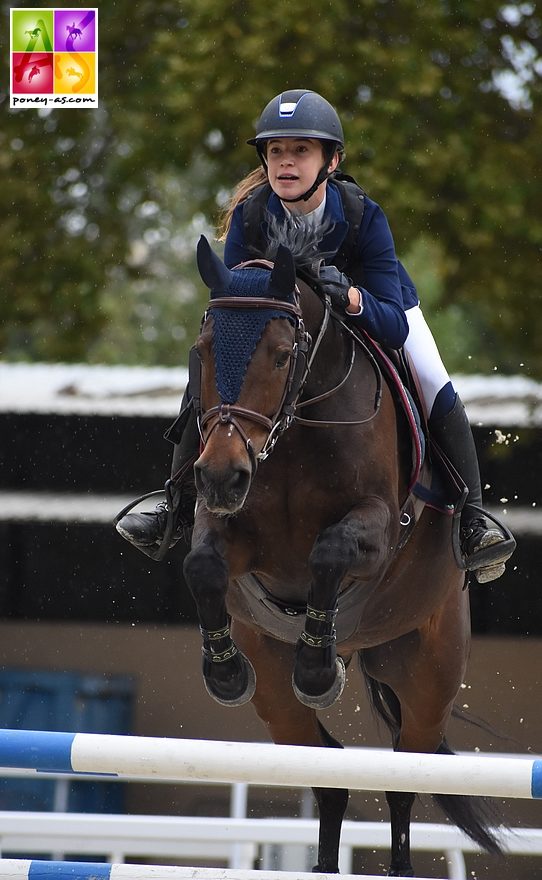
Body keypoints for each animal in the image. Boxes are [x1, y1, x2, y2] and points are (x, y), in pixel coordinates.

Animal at [183, 230, 502, 876]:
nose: (221, 476)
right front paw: (225, 673)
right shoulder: (229, 531)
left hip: (429, 676)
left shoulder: (376, 531)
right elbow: (202, 565)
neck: (294, 430)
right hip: (277, 697)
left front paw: (317, 669)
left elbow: (328, 554)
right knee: (328, 774)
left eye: (283, 355)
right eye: (202, 352)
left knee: (403, 781)